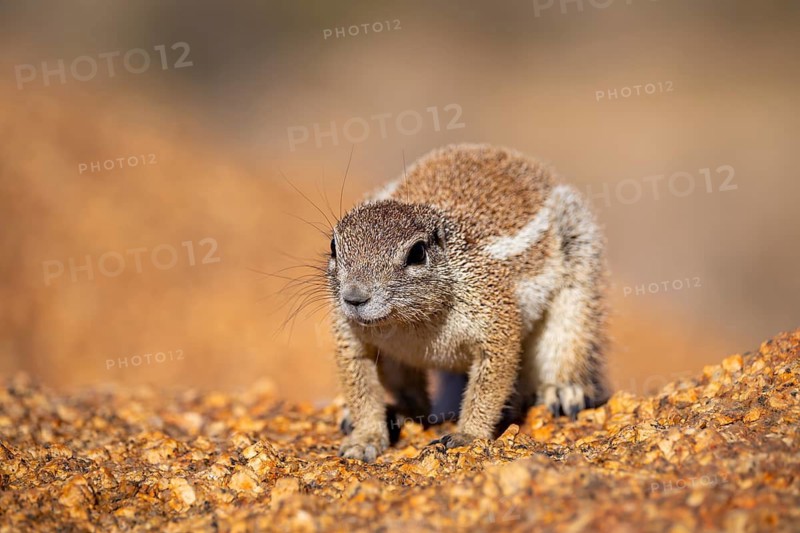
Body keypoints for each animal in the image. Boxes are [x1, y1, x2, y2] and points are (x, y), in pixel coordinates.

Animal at [327, 144, 609, 461]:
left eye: (417, 253)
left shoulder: (493, 314)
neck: (409, 323)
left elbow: (488, 385)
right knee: (415, 400)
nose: (354, 297)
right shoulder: (349, 336)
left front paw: (468, 435)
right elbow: (359, 387)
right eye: (333, 247)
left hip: (578, 267)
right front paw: (364, 439)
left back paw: (561, 390)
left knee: (569, 337)